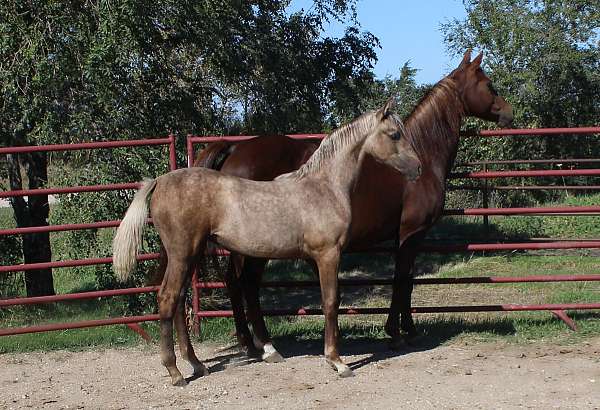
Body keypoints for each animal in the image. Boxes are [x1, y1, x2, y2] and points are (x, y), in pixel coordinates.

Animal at [112, 99, 422, 384]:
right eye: (395, 134)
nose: (418, 168)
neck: (324, 187)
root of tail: (160, 181)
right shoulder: (327, 255)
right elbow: (331, 302)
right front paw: (337, 361)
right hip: (184, 253)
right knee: (168, 298)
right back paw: (176, 371)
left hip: (190, 254)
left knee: (177, 302)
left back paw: (197, 364)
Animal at [182, 50, 510, 358]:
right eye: (488, 84)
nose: (508, 112)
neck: (423, 156)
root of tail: (235, 149)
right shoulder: (411, 233)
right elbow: (403, 279)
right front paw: (401, 332)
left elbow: (403, 279)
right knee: (245, 284)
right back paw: (261, 345)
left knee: (238, 283)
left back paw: (252, 344)